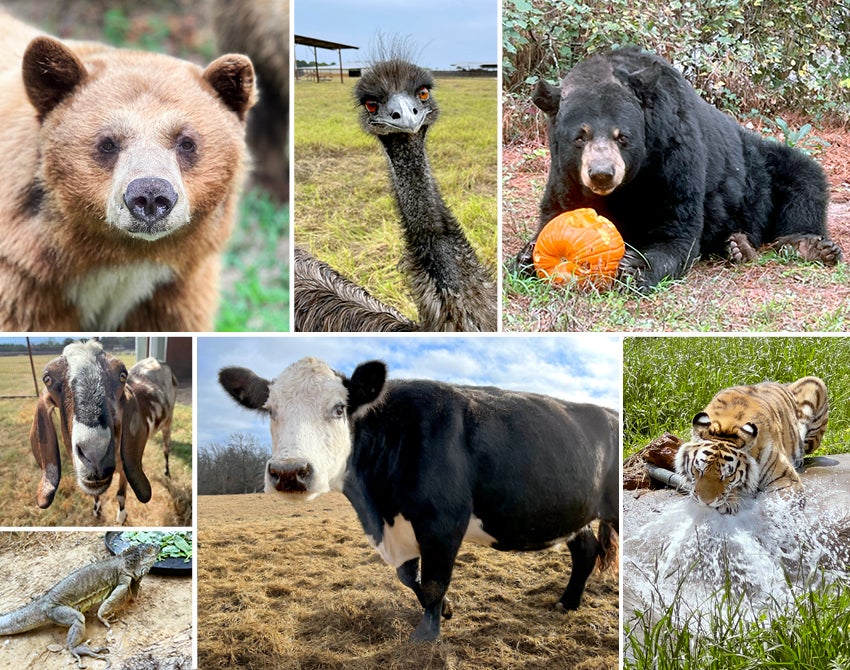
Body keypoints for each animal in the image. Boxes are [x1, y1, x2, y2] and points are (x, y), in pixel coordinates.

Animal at [28, 342, 177, 524]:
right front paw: (97, 510)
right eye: (47, 379)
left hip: (169, 421)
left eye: (122, 375)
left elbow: (120, 495)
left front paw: (121, 517)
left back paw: (167, 472)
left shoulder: (126, 468)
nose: (95, 454)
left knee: (166, 448)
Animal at [217, 360, 616, 644]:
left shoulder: (442, 522)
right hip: (573, 512)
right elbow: (411, 577)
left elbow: (435, 580)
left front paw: (427, 635)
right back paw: (567, 602)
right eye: (271, 410)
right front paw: (446, 611)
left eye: (338, 409)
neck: (377, 507)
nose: (288, 472)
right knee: (586, 550)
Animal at [516, 47, 840, 288]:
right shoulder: (565, 172)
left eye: (623, 136)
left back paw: (809, 246)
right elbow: (556, 213)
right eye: (579, 137)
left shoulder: (673, 157)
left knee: (804, 182)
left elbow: (677, 230)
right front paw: (527, 256)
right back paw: (737, 246)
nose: (602, 174)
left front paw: (635, 266)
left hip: (764, 167)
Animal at [672, 378, 824, 516]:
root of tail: (784, 384)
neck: (726, 427)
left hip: (815, 384)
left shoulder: (787, 479)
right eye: (699, 470)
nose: (705, 502)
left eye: (727, 475)